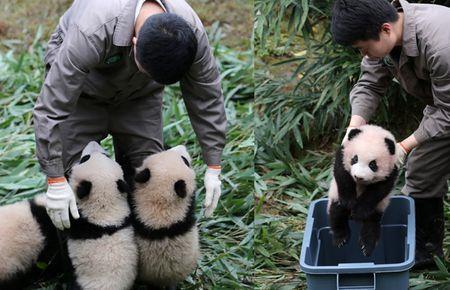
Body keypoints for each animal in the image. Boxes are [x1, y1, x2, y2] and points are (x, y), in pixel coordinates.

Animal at [328, 124, 400, 256]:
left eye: (373, 164)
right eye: (355, 159)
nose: (358, 176)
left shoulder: (392, 170)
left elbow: (379, 190)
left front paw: (359, 211)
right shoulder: (342, 154)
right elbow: (342, 174)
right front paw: (349, 202)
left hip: (377, 207)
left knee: (371, 223)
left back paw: (367, 245)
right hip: (335, 195)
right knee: (336, 212)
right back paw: (341, 237)